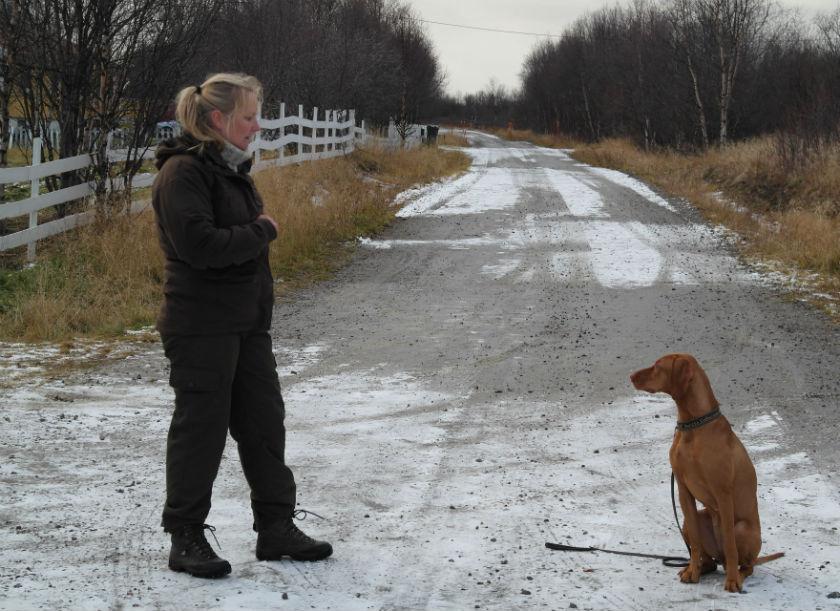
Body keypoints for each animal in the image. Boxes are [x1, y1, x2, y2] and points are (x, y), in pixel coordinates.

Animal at [632, 354, 780, 592]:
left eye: (657, 367)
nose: (631, 376)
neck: (693, 426)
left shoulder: (723, 493)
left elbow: (730, 544)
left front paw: (732, 581)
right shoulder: (683, 490)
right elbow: (694, 543)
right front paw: (693, 571)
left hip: (742, 529)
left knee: (744, 563)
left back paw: (737, 574)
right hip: (691, 521)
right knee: (708, 558)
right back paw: (697, 568)